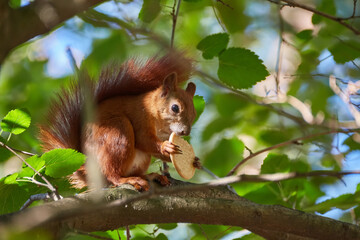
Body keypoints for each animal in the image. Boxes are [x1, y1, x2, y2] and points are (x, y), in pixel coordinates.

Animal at [38, 51, 197, 190]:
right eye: (175, 108)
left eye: (194, 114)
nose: (185, 132)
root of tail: (90, 172)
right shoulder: (140, 116)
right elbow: (143, 139)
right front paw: (166, 147)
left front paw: (195, 161)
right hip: (118, 132)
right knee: (112, 175)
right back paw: (127, 180)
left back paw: (150, 176)